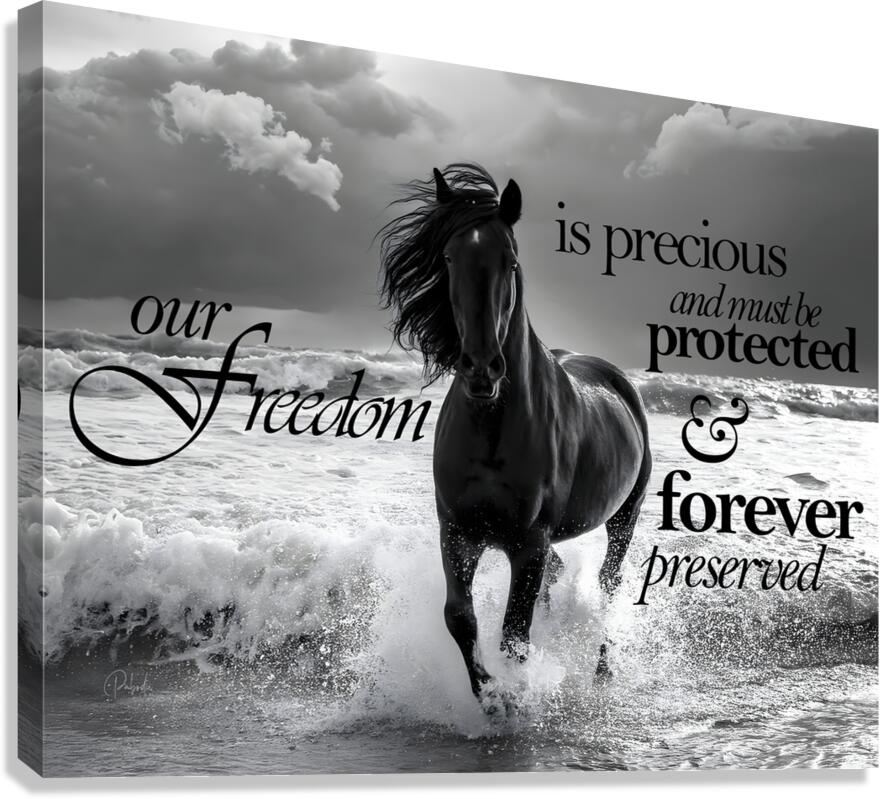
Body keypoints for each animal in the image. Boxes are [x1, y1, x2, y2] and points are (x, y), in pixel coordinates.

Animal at [378, 163, 652, 708]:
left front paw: (514, 699)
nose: (482, 369)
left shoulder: (528, 543)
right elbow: (460, 619)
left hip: (623, 520)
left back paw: (602, 671)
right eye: (448, 256)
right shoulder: (458, 532)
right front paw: (488, 694)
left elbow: (514, 635)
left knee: (608, 590)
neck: (492, 428)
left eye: (510, 260)